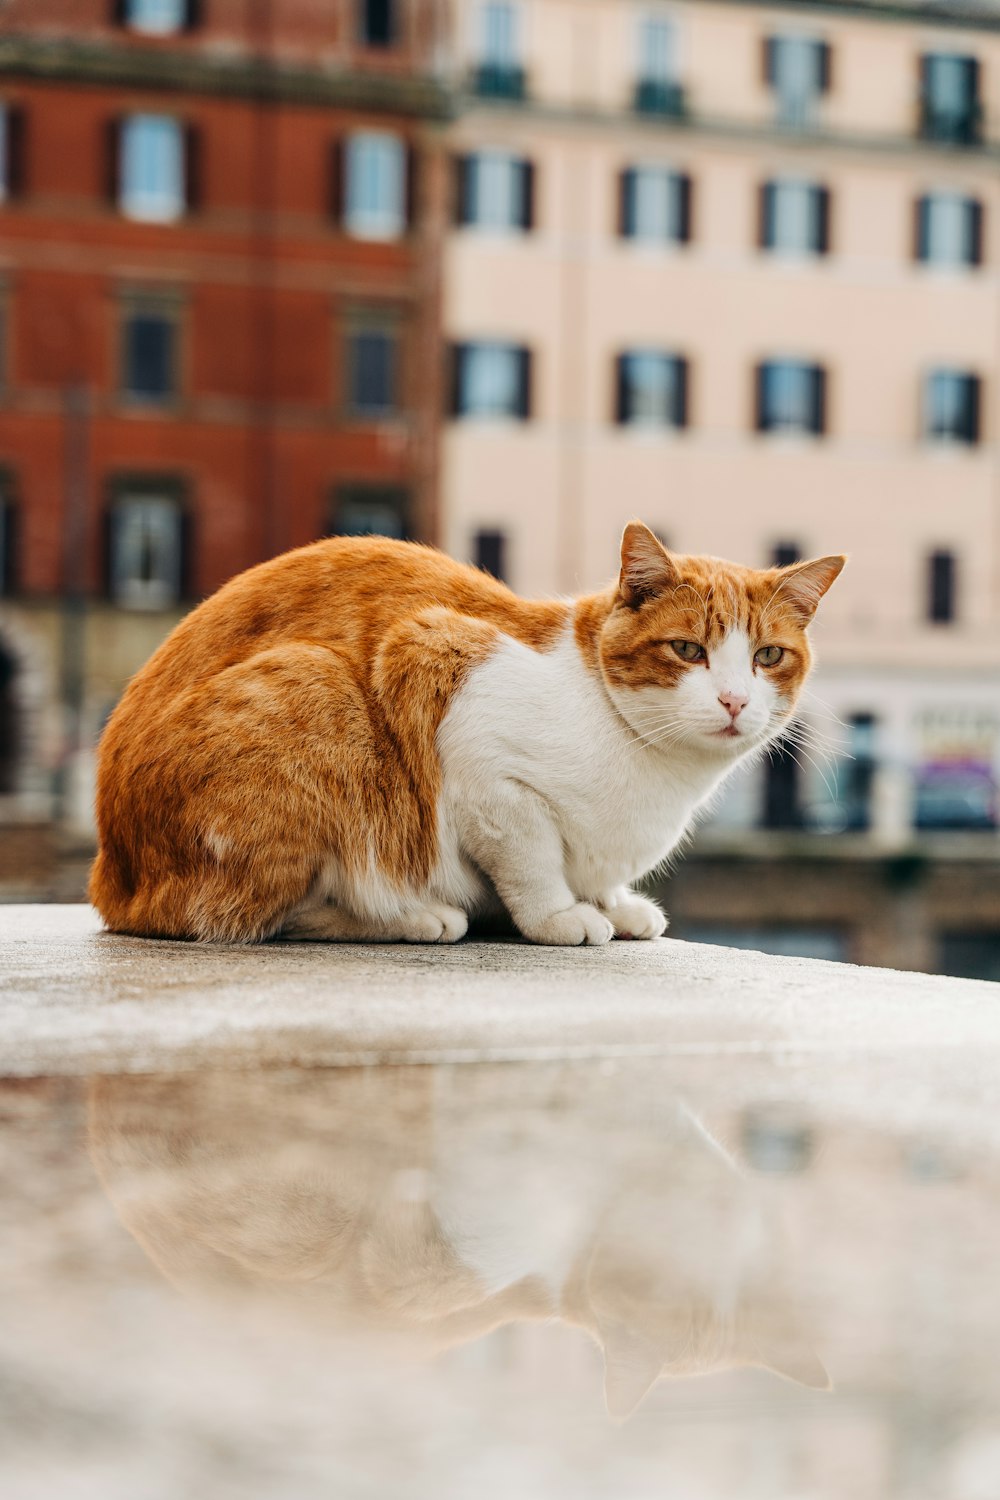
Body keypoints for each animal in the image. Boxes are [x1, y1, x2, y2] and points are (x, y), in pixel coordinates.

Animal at [91, 522, 845, 942]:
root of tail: (111, 876)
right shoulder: (456, 703)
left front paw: (614, 903)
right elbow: (534, 862)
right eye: (688, 650)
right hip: (318, 687)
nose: (734, 701)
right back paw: (413, 917)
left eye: (767, 656)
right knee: (261, 913)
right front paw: (561, 916)